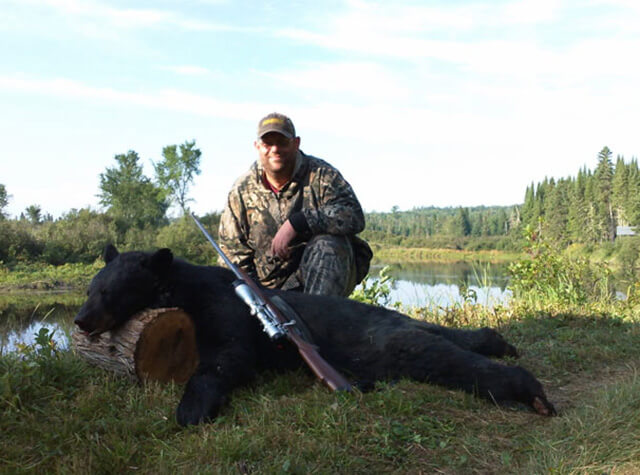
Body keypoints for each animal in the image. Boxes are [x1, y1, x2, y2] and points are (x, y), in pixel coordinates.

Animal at [74, 247, 556, 426]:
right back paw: (498, 340)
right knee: (454, 335)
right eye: (90, 287)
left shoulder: (224, 311)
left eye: (108, 291)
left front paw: (191, 409)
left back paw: (531, 391)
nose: (79, 320)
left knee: (448, 359)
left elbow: (227, 358)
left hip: (387, 343)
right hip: (407, 325)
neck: (186, 286)